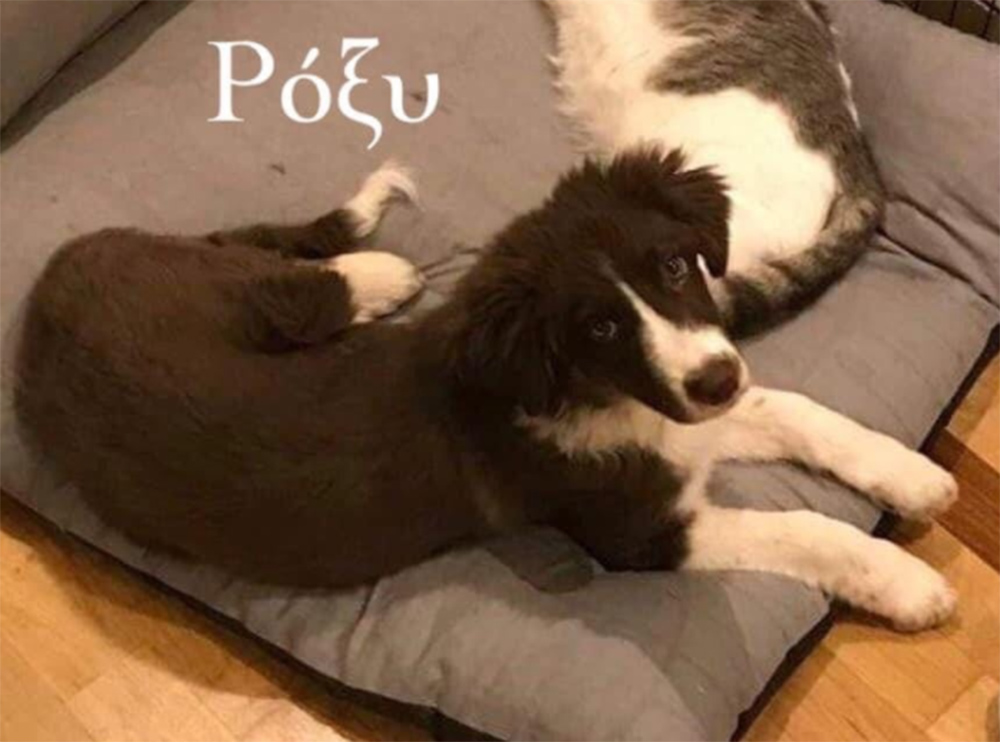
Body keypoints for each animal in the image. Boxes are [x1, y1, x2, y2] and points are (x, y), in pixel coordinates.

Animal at [16, 151, 955, 631]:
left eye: (675, 266)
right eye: (598, 329)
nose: (718, 377)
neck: (590, 394)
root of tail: (47, 289)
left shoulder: (689, 411)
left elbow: (799, 411)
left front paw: (914, 477)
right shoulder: (637, 531)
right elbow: (802, 529)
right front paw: (907, 583)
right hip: (250, 299)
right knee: (300, 281)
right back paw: (386, 273)